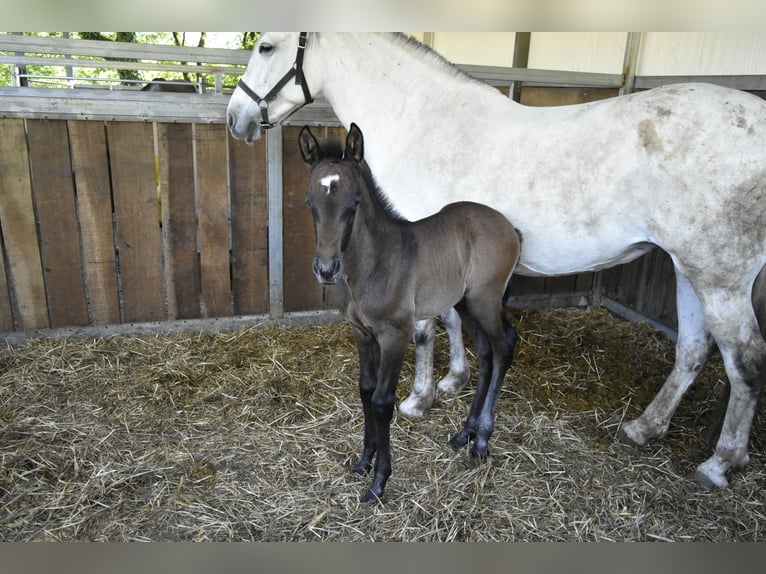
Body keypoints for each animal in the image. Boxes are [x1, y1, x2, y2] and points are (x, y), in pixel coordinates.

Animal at [230, 32, 766, 490]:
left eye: (266, 46)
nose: (237, 118)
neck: (422, 118)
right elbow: (453, 322)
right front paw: (453, 380)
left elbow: (426, 329)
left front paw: (419, 397)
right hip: (686, 267)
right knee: (693, 350)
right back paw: (645, 427)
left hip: (720, 276)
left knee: (745, 359)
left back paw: (720, 463)